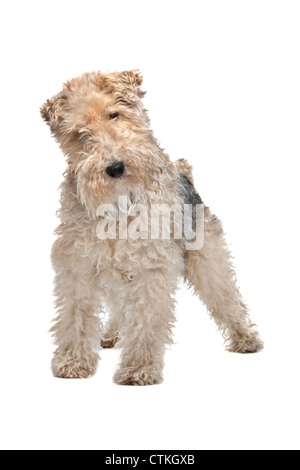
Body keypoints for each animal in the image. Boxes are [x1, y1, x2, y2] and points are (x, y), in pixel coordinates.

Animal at [39, 70, 262, 386]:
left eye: (114, 114)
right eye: (79, 133)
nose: (115, 167)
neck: (120, 206)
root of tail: (185, 174)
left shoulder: (151, 269)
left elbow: (145, 320)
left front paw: (138, 369)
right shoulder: (77, 268)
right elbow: (75, 317)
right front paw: (73, 362)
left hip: (209, 261)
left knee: (227, 298)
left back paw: (246, 339)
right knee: (119, 309)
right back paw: (111, 334)